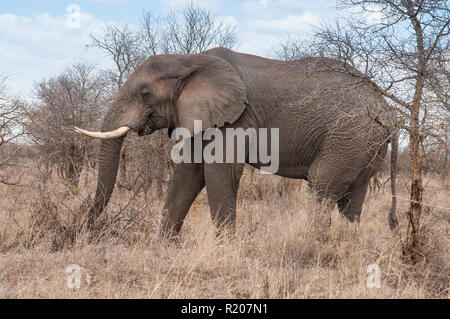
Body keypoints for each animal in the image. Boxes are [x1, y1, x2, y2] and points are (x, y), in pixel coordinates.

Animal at [74, 47, 400, 238]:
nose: (84, 231)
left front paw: (226, 248)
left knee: (322, 187)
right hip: (363, 143)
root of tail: (388, 110)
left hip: (351, 135)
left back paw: (312, 244)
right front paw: (164, 246)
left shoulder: (237, 117)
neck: (188, 60)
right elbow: (188, 174)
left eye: (144, 93)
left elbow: (219, 171)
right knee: (351, 199)